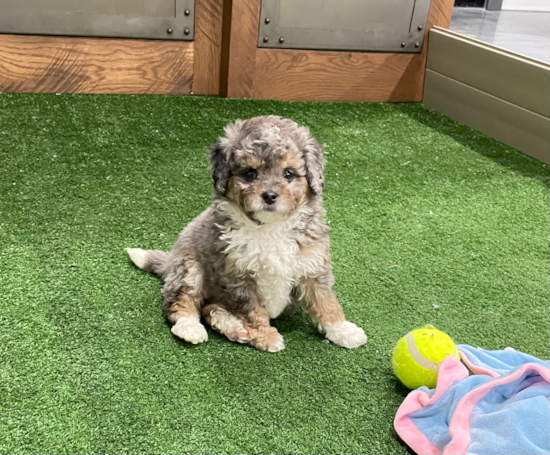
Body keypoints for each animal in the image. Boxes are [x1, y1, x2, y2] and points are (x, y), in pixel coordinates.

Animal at [127, 115, 368, 352]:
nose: (269, 195)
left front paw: (343, 331)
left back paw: (232, 327)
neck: (269, 228)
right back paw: (190, 328)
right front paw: (265, 336)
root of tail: (169, 263)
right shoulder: (237, 275)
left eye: (288, 173)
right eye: (250, 173)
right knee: (180, 303)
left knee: (209, 307)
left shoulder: (313, 265)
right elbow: (252, 310)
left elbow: (326, 300)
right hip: (189, 267)